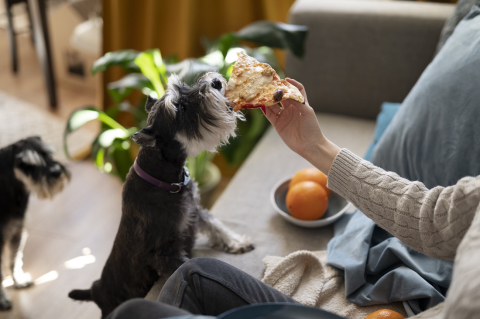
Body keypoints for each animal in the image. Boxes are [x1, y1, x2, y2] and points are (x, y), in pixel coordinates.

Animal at [0, 137, 70, 310]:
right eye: (27, 164)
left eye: (48, 153)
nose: (56, 172)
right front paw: (2, 299)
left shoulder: (17, 231)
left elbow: (14, 260)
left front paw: (18, 281)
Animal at [70, 73, 255, 319]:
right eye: (180, 108)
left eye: (183, 87)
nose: (215, 81)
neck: (165, 180)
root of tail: (96, 289)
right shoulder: (164, 252)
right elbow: (184, 263)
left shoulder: (195, 211)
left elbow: (216, 226)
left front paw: (236, 242)